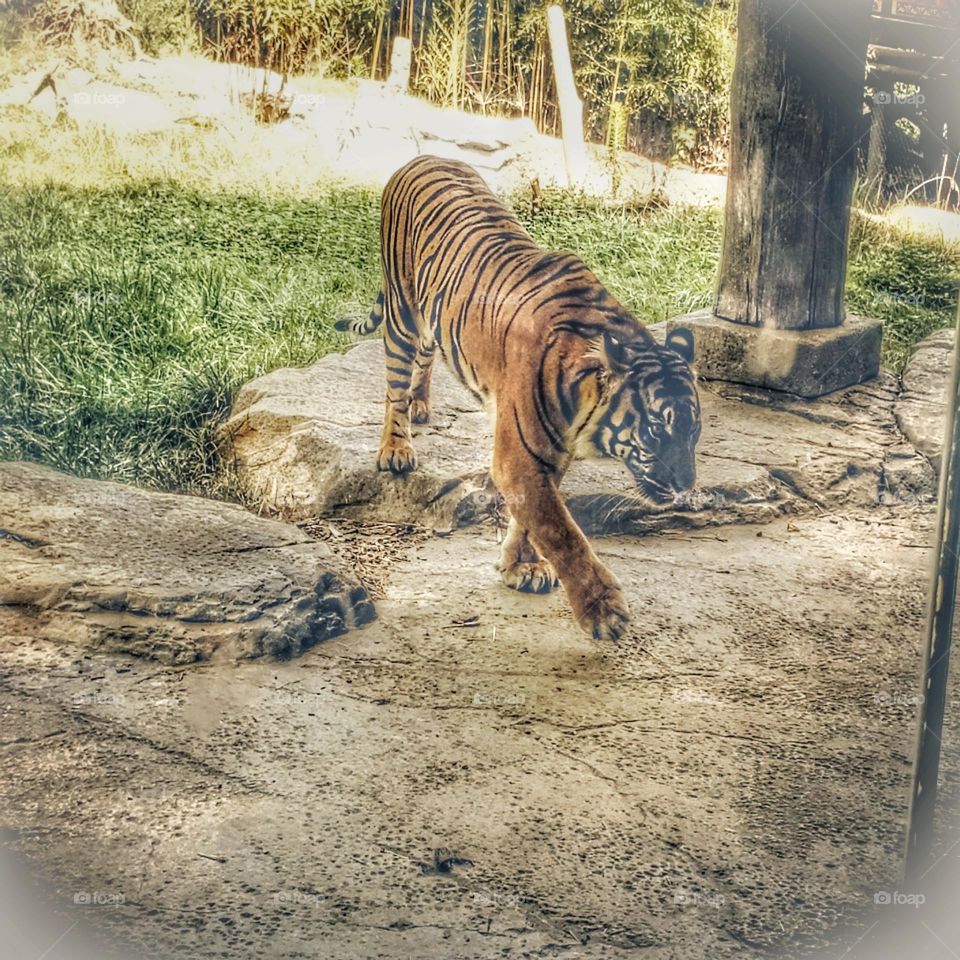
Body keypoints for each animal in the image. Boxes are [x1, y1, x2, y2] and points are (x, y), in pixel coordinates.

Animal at [334, 154, 700, 640]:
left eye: (694, 431)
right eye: (658, 428)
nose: (685, 489)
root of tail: (423, 157)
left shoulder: (550, 452)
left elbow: (531, 520)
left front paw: (520, 567)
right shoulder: (520, 457)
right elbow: (560, 530)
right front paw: (603, 609)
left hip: (433, 319)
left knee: (425, 358)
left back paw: (422, 405)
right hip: (403, 311)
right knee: (394, 386)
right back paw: (396, 447)